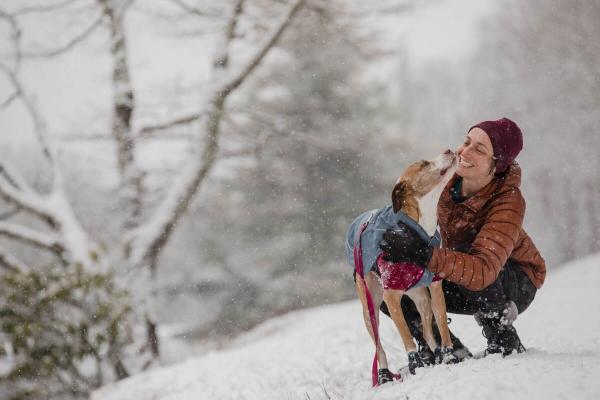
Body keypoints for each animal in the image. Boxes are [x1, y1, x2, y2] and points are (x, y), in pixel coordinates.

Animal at [344, 149, 458, 384]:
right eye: (423, 164)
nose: (449, 150)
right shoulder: (391, 297)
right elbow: (406, 336)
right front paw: (415, 363)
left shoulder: (435, 287)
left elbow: (441, 325)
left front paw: (448, 355)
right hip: (370, 309)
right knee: (380, 348)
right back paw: (384, 375)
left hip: (421, 298)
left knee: (427, 331)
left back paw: (435, 355)